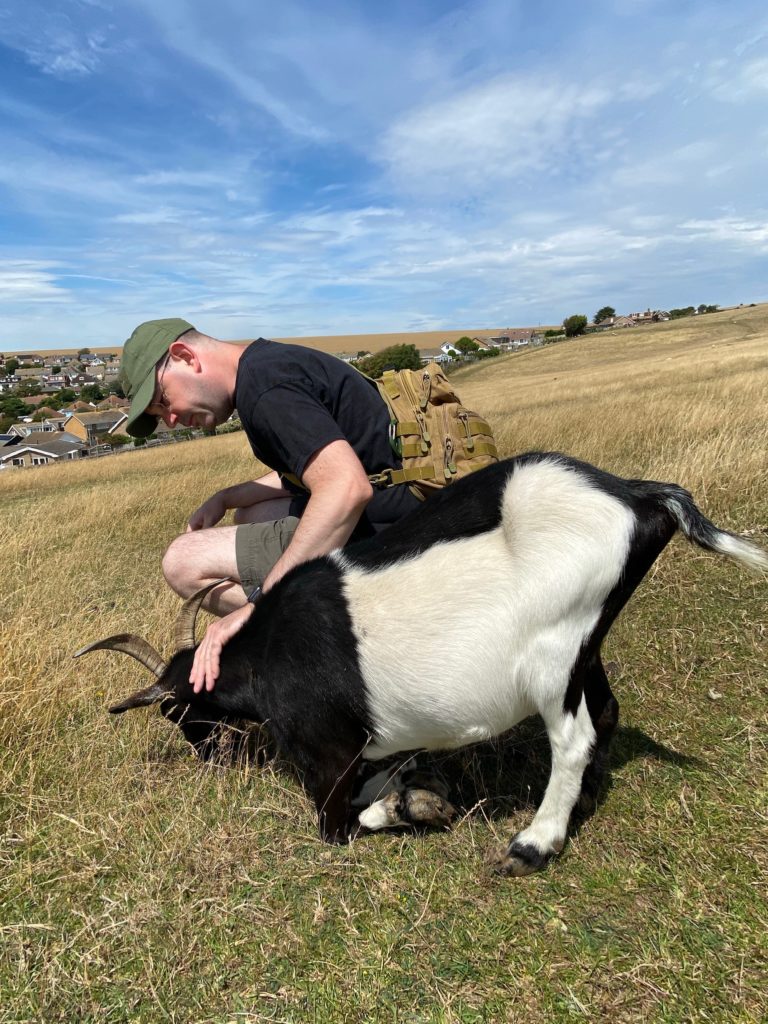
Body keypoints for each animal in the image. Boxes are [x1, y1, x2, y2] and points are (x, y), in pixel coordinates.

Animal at [75, 452, 765, 876]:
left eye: (173, 708)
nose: (207, 754)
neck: (266, 651)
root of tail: (633, 495)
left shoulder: (330, 758)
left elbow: (344, 825)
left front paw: (415, 808)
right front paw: (425, 797)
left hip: (553, 654)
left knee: (573, 738)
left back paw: (533, 845)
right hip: (585, 648)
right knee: (607, 712)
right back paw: (585, 803)